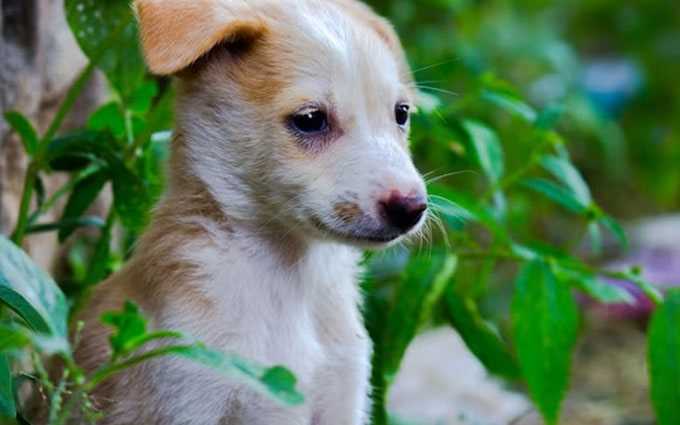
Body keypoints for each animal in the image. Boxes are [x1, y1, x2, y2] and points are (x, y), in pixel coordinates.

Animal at [74, 0, 424, 422]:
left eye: (401, 113)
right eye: (310, 120)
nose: (413, 208)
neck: (291, 281)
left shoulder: (344, 393)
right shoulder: (187, 393)